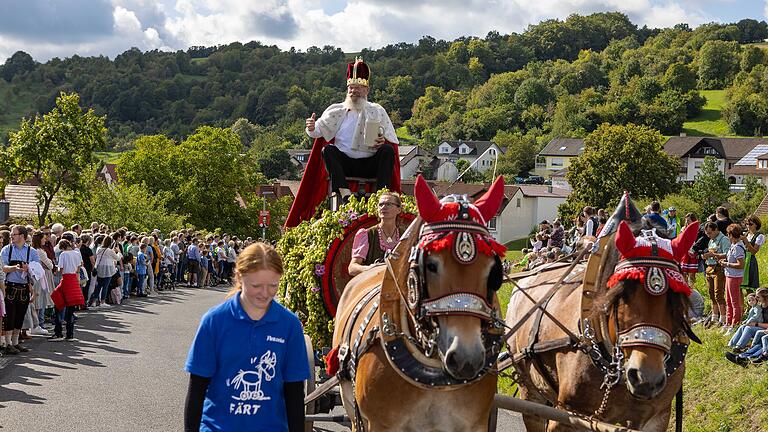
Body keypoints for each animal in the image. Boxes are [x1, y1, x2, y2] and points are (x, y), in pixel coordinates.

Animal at [328, 176, 508, 432]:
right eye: (431, 265)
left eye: (494, 270)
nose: (466, 359)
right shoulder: (377, 424)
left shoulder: (474, 424)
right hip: (353, 409)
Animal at [508, 194, 700, 430]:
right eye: (621, 294)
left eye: (675, 299)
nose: (646, 378)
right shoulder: (568, 416)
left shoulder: (658, 417)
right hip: (530, 393)